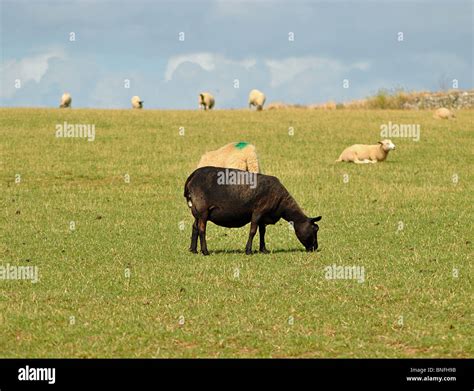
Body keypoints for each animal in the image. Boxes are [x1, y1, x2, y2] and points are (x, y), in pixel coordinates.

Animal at [185, 167, 322, 256]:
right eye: (315, 229)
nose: (315, 248)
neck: (282, 204)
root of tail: (191, 177)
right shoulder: (258, 211)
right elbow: (253, 231)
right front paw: (249, 251)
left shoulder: (264, 215)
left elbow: (262, 232)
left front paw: (263, 250)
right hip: (203, 209)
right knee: (202, 229)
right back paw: (205, 251)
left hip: (196, 210)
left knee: (195, 227)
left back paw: (193, 250)